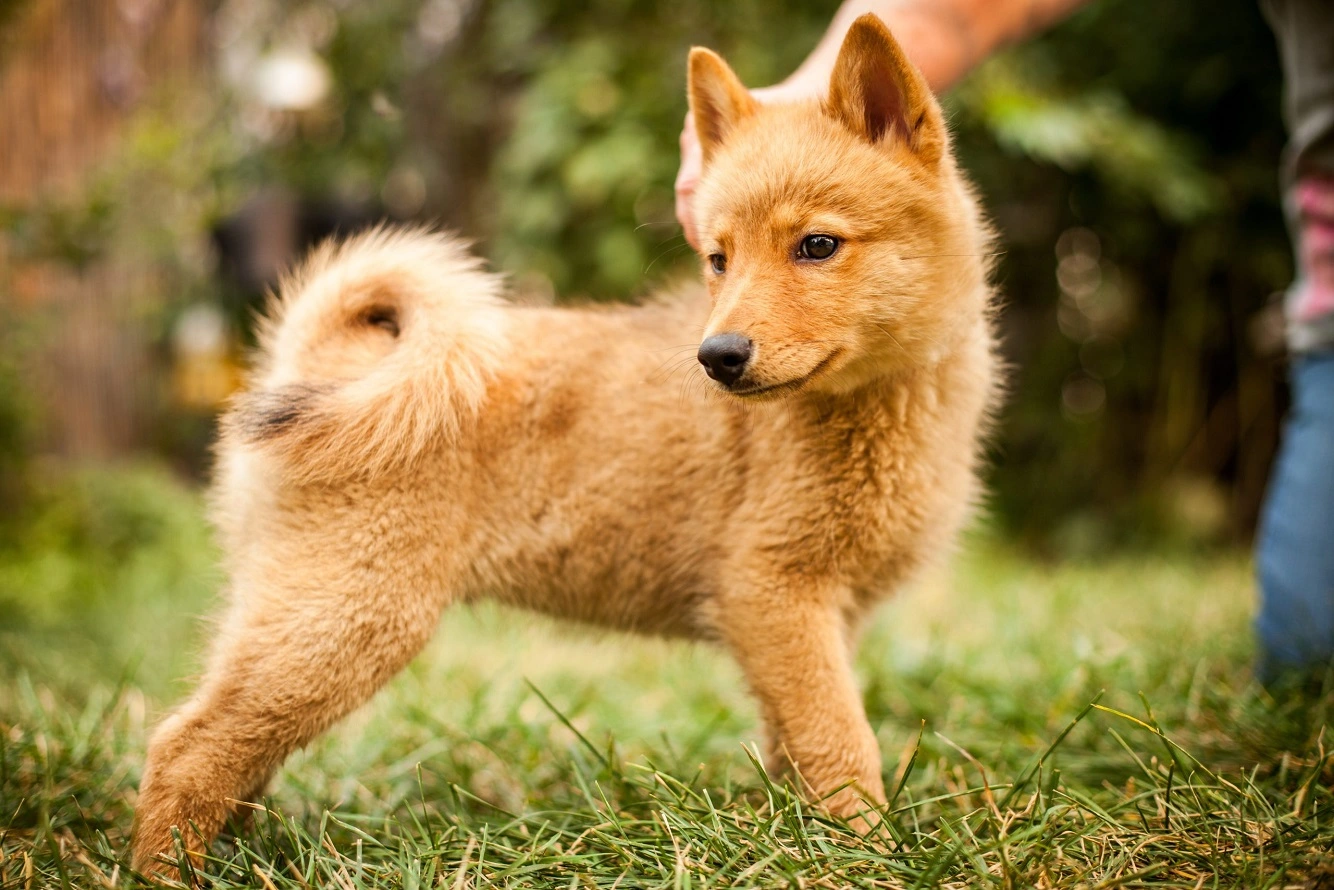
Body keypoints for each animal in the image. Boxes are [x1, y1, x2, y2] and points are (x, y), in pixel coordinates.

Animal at [135, 13, 1003, 875]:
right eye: (719, 260)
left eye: (817, 246)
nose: (718, 356)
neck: (884, 408)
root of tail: (323, 357)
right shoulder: (772, 591)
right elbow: (842, 746)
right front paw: (866, 857)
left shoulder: (814, 622)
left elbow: (800, 742)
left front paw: (801, 842)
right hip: (347, 619)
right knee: (185, 747)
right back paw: (166, 871)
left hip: (294, 617)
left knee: (235, 755)